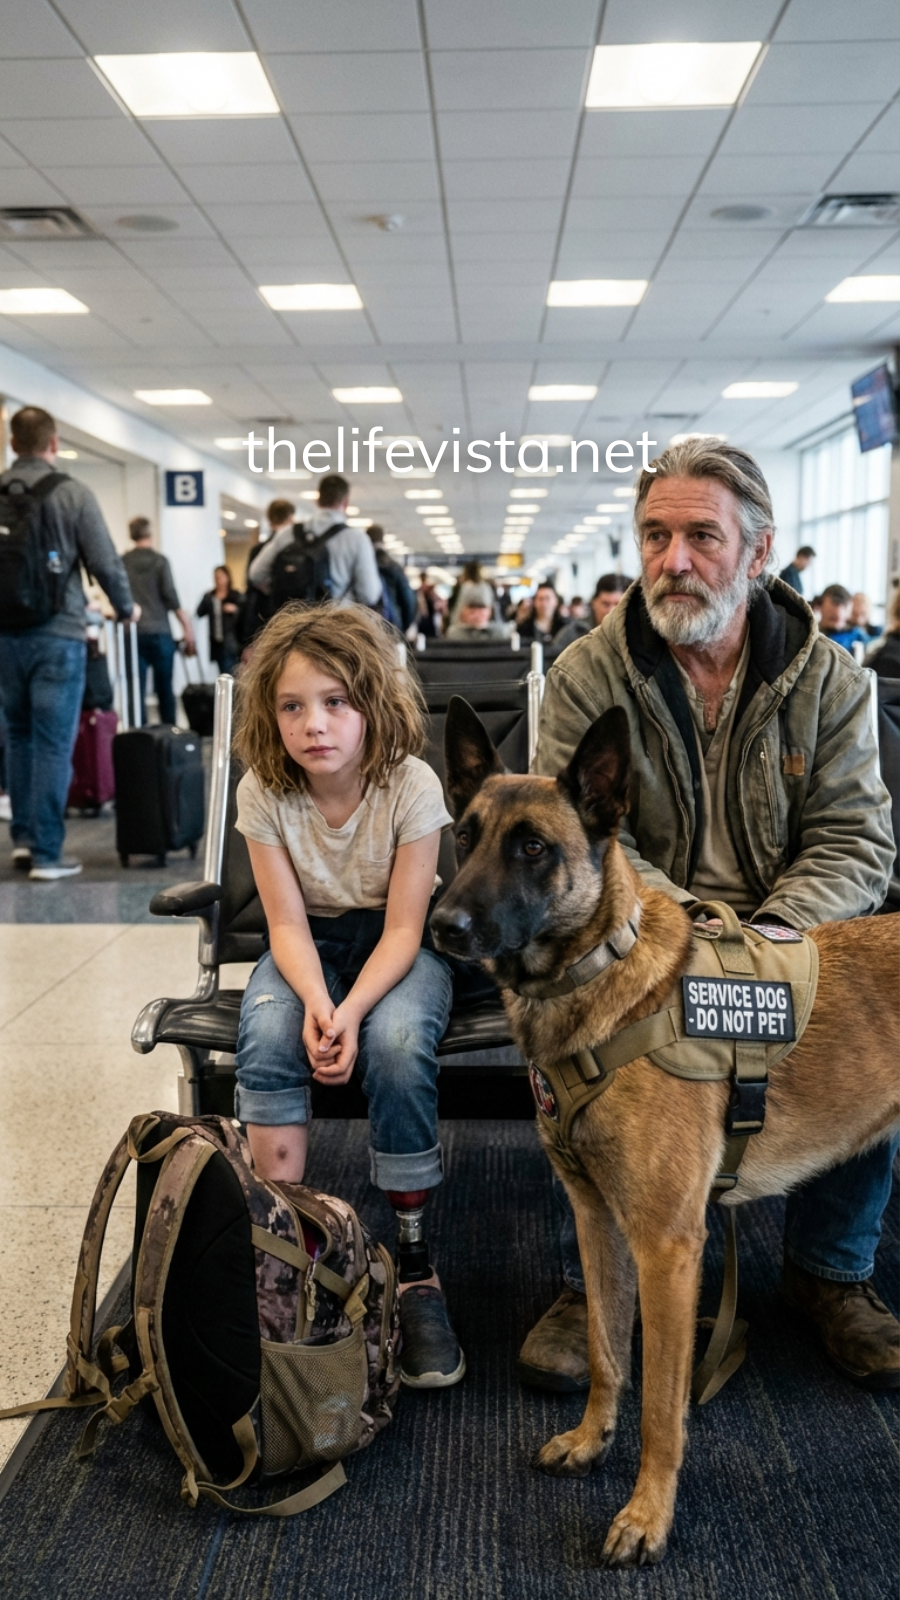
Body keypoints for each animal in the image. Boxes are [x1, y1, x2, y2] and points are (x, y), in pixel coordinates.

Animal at [430, 696, 900, 1569]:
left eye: (534, 848)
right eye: (466, 836)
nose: (443, 925)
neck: (598, 980)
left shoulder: (669, 1247)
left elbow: (660, 1404)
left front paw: (648, 1514)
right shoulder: (599, 1225)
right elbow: (609, 1354)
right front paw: (591, 1440)